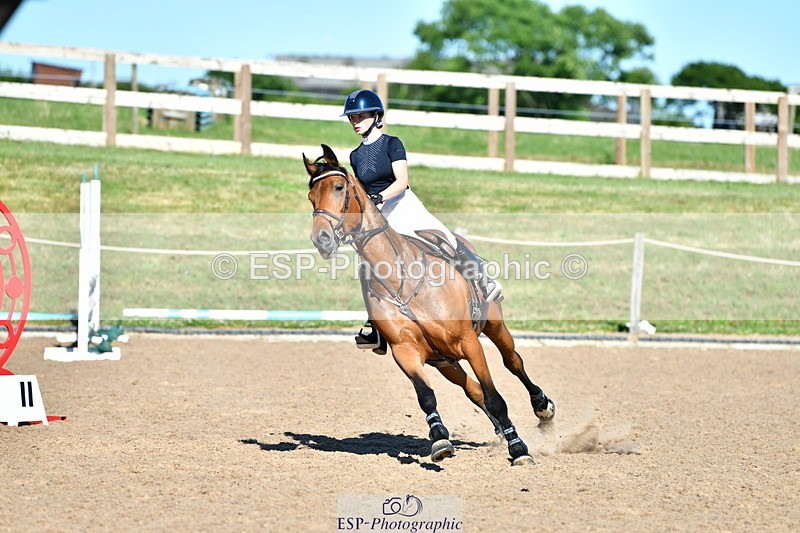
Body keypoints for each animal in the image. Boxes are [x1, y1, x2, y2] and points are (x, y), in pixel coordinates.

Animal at [304, 144, 555, 466]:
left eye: (338, 187)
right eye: (311, 197)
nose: (321, 239)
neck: (401, 277)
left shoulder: (469, 342)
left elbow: (496, 397)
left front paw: (519, 449)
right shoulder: (406, 351)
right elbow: (427, 396)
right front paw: (440, 440)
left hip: (494, 327)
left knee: (513, 361)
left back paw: (542, 408)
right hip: (444, 360)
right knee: (473, 390)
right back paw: (498, 430)